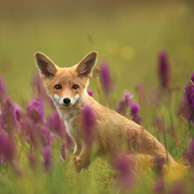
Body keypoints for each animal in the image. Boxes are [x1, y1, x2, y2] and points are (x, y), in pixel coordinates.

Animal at [34, 50, 177, 172]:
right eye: (58, 87)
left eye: (75, 87)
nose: (67, 100)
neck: (76, 115)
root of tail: (177, 165)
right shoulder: (78, 144)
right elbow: (71, 163)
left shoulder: (94, 144)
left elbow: (74, 167)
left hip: (126, 159)